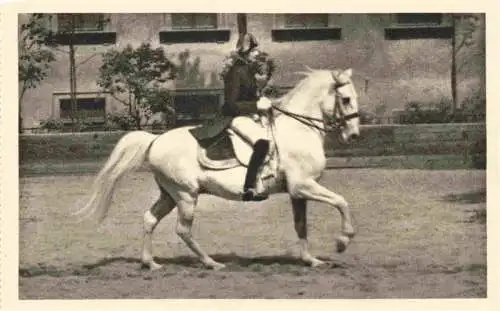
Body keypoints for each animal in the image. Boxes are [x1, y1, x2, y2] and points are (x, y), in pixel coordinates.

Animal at [76, 67, 362, 270]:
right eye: (346, 99)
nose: (354, 135)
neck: (299, 129)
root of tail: (155, 140)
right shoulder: (304, 185)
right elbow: (342, 202)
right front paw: (342, 241)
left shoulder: (297, 192)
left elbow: (301, 225)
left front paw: (310, 260)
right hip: (186, 195)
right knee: (183, 229)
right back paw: (211, 263)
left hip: (169, 194)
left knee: (150, 219)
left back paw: (151, 263)